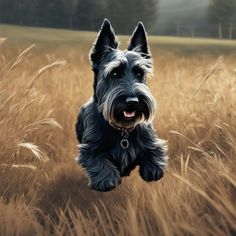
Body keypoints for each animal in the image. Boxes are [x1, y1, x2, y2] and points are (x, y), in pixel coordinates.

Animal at [76, 18, 168, 192]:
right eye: (114, 72)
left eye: (140, 73)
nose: (133, 102)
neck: (123, 131)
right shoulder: (89, 149)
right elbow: (99, 162)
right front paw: (106, 180)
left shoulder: (153, 142)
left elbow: (155, 154)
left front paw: (153, 171)